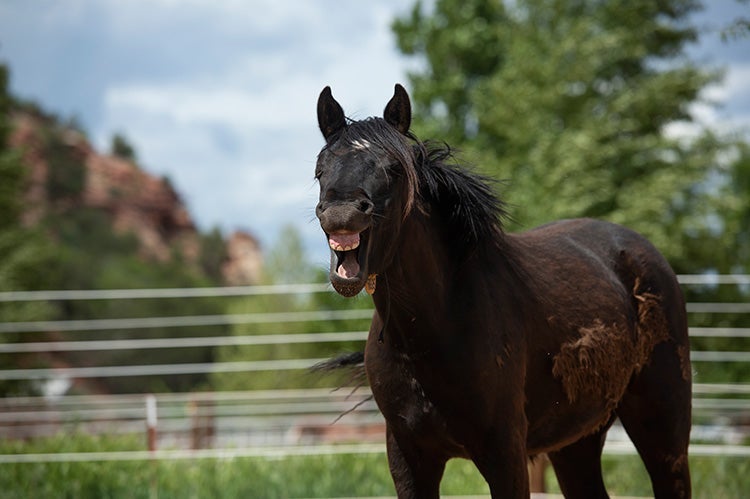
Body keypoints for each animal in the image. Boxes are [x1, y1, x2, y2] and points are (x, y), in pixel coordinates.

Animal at [312, 84, 692, 498]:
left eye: (394, 168)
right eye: (320, 168)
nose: (342, 214)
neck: (431, 332)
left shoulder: (505, 454)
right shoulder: (408, 457)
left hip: (664, 432)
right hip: (576, 441)